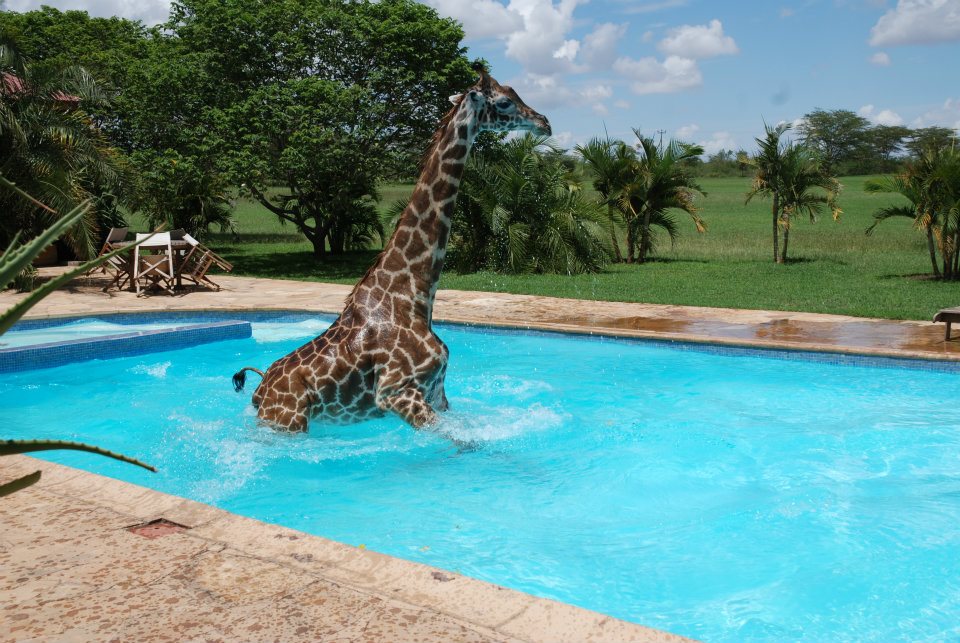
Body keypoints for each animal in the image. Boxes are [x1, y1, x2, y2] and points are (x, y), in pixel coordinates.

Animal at [229, 69, 552, 432]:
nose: (545, 122)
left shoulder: (437, 392)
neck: (414, 292)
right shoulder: (398, 392)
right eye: (505, 102)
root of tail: (259, 389)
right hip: (288, 421)